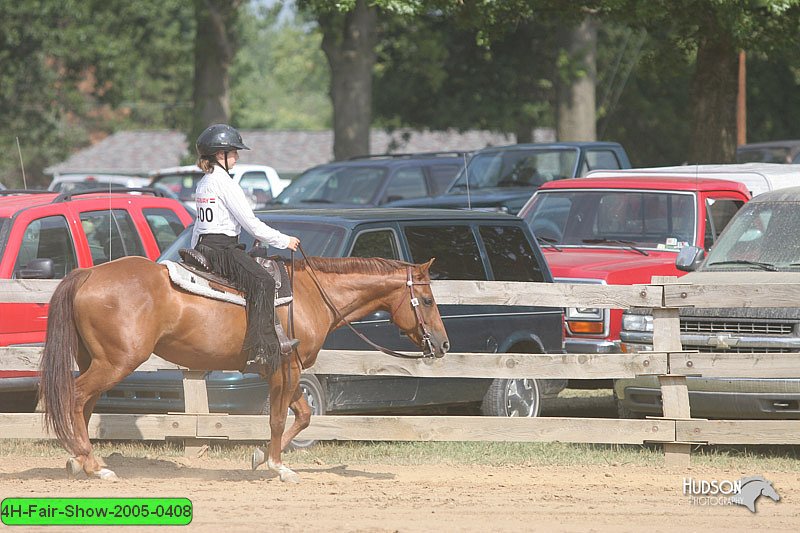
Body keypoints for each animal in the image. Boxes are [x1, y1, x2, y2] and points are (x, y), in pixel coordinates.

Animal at [39, 254, 450, 482]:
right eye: (428, 300)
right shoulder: (287, 368)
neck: (310, 296)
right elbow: (279, 419)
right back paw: (93, 465)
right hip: (116, 362)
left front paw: (261, 457)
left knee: (83, 404)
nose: (444, 344)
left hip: (96, 360)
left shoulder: (281, 371)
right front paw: (279, 467)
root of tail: (89, 273)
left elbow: (302, 416)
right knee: (75, 398)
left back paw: (79, 460)